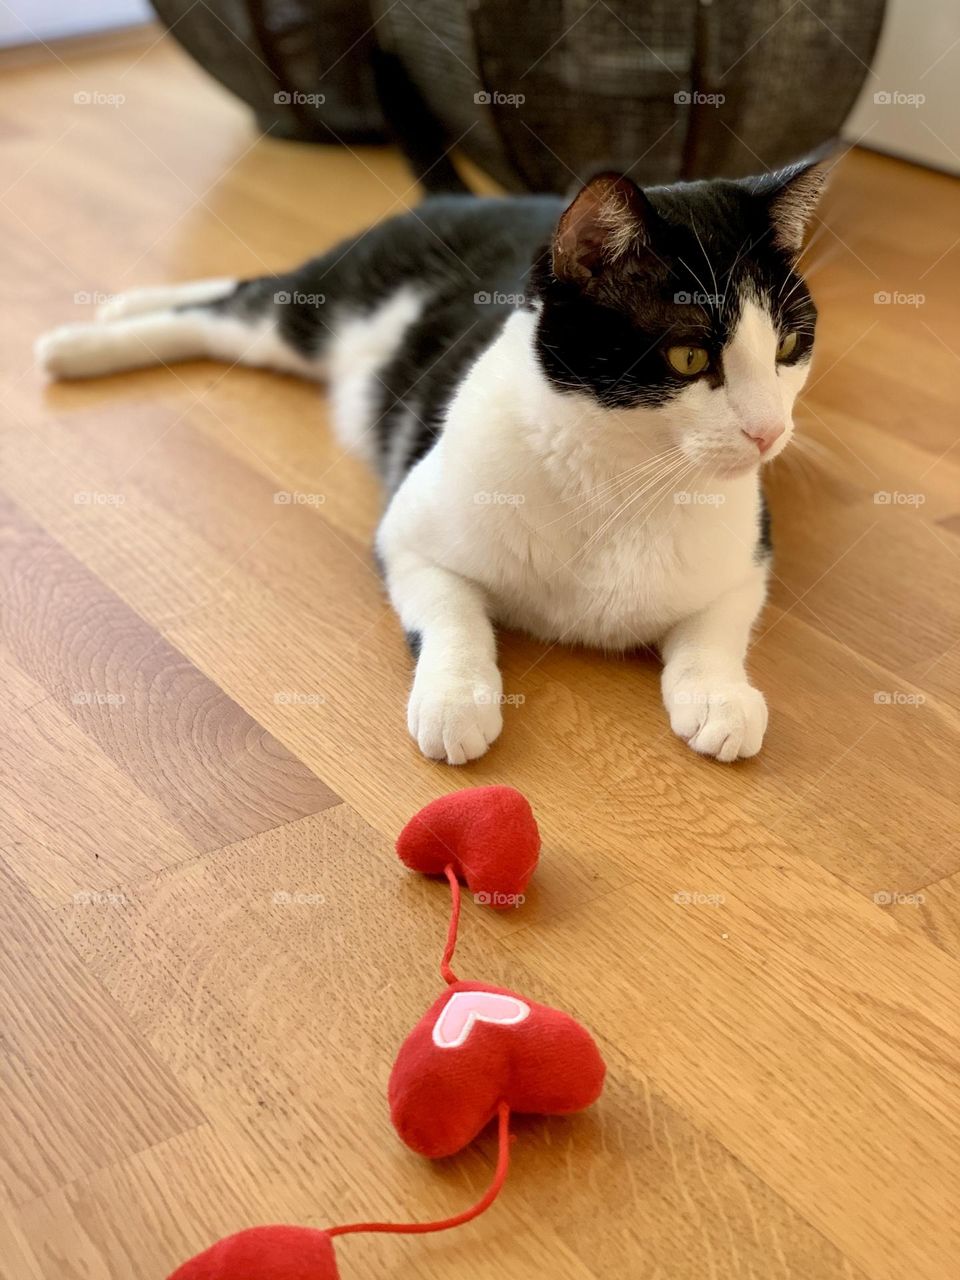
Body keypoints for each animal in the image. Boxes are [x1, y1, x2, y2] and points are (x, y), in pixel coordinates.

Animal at [33, 161, 824, 762]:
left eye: (788, 347)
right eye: (689, 357)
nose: (770, 431)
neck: (621, 482)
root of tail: (479, 195)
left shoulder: (748, 553)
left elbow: (719, 625)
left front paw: (720, 696)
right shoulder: (407, 533)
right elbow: (451, 610)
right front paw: (456, 700)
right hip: (328, 306)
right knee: (242, 304)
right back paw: (87, 338)